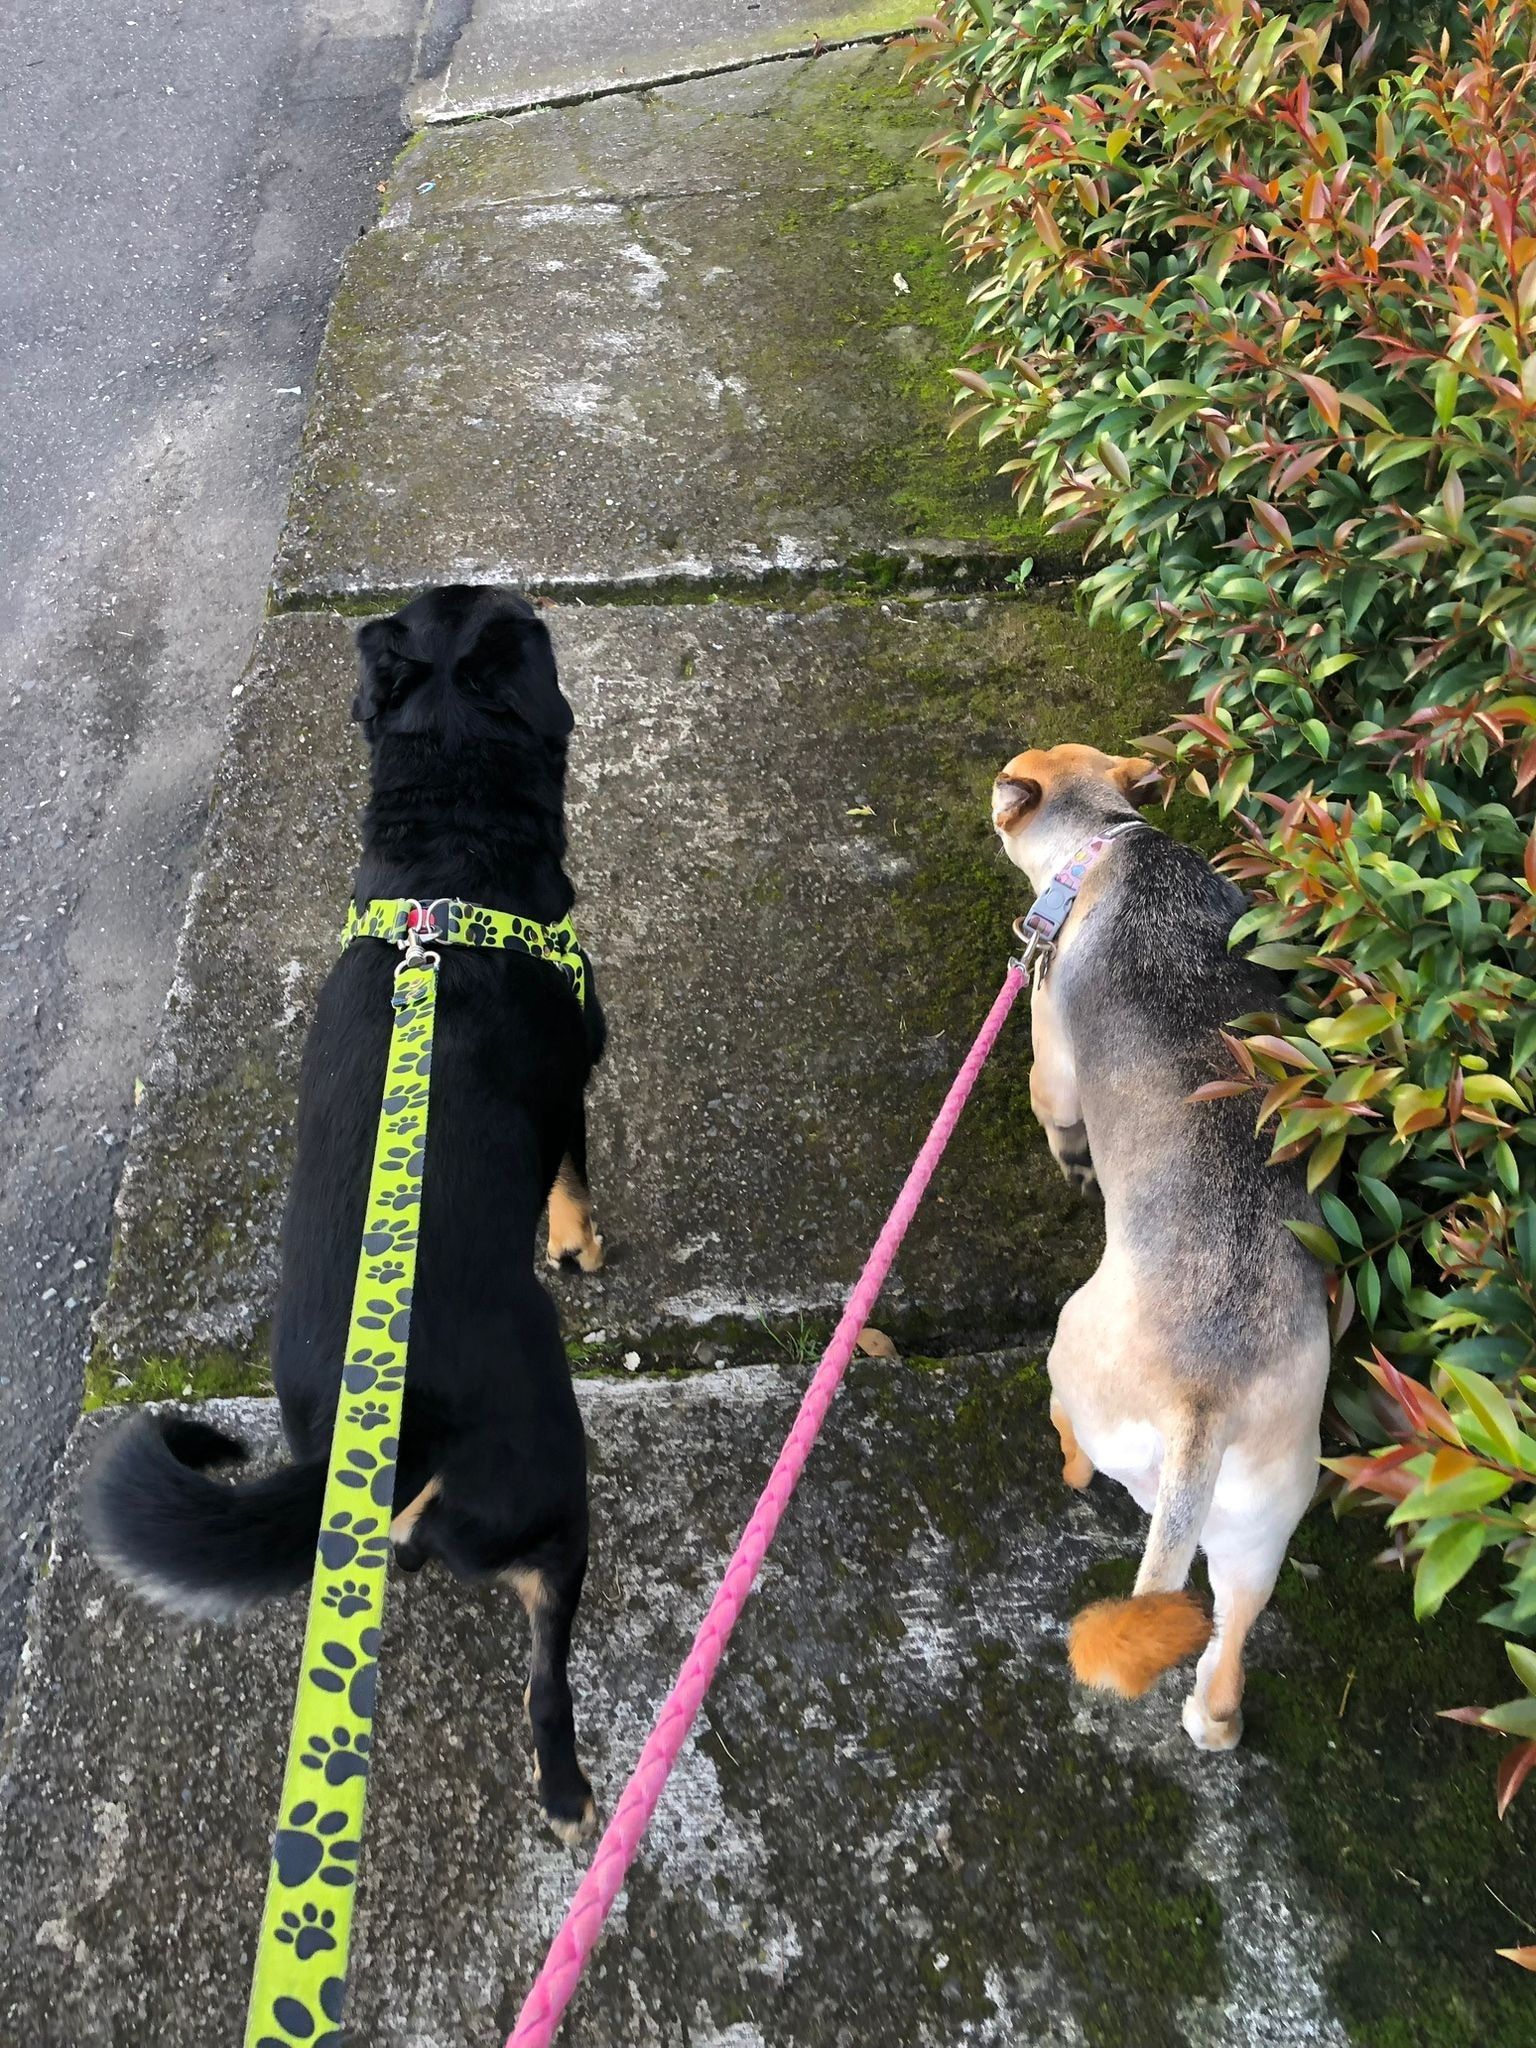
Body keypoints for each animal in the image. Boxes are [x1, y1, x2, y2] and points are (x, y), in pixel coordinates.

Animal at [86, 585, 607, 1840]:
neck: (451, 860)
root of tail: (398, 1400)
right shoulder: (577, 1071)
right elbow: (574, 1175)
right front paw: (580, 1244)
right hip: (553, 1497)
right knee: (546, 1674)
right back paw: (570, 1790)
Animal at [992, 744, 1327, 1749]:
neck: (1106, 840)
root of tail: (1201, 1406)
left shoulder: (1051, 1053)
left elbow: (1055, 1111)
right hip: (1264, 1520)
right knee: (1231, 1629)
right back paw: (1214, 1719)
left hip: (1073, 1355)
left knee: (1073, 1431)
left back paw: (1067, 1463)